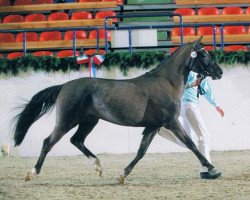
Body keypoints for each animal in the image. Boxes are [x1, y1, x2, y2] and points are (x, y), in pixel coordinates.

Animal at [12, 37, 223, 184]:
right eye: (204, 55)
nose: (219, 72)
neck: (166, 82)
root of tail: (64, 86)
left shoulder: (153, 127)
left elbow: (141, 152)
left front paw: (123, 175)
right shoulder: (171, 122)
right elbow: (191, 144)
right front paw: (212, 168)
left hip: (89, 121)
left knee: (76, 140)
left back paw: (98, 167)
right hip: (66, 121)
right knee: (48, 142)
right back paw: (32, 173)